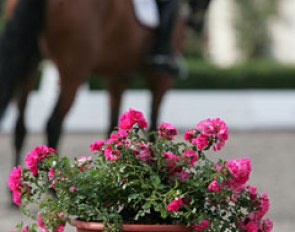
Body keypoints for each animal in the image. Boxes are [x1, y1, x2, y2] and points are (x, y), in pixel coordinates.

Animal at [0, 0, 213, 167]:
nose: (197, 23)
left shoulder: (118, 77)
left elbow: (113, 126)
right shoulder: (161, 80)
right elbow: (154, 128)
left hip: (30, 65)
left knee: (20, 126)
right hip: (73, 71)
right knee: (53, 124)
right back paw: (54, 188)